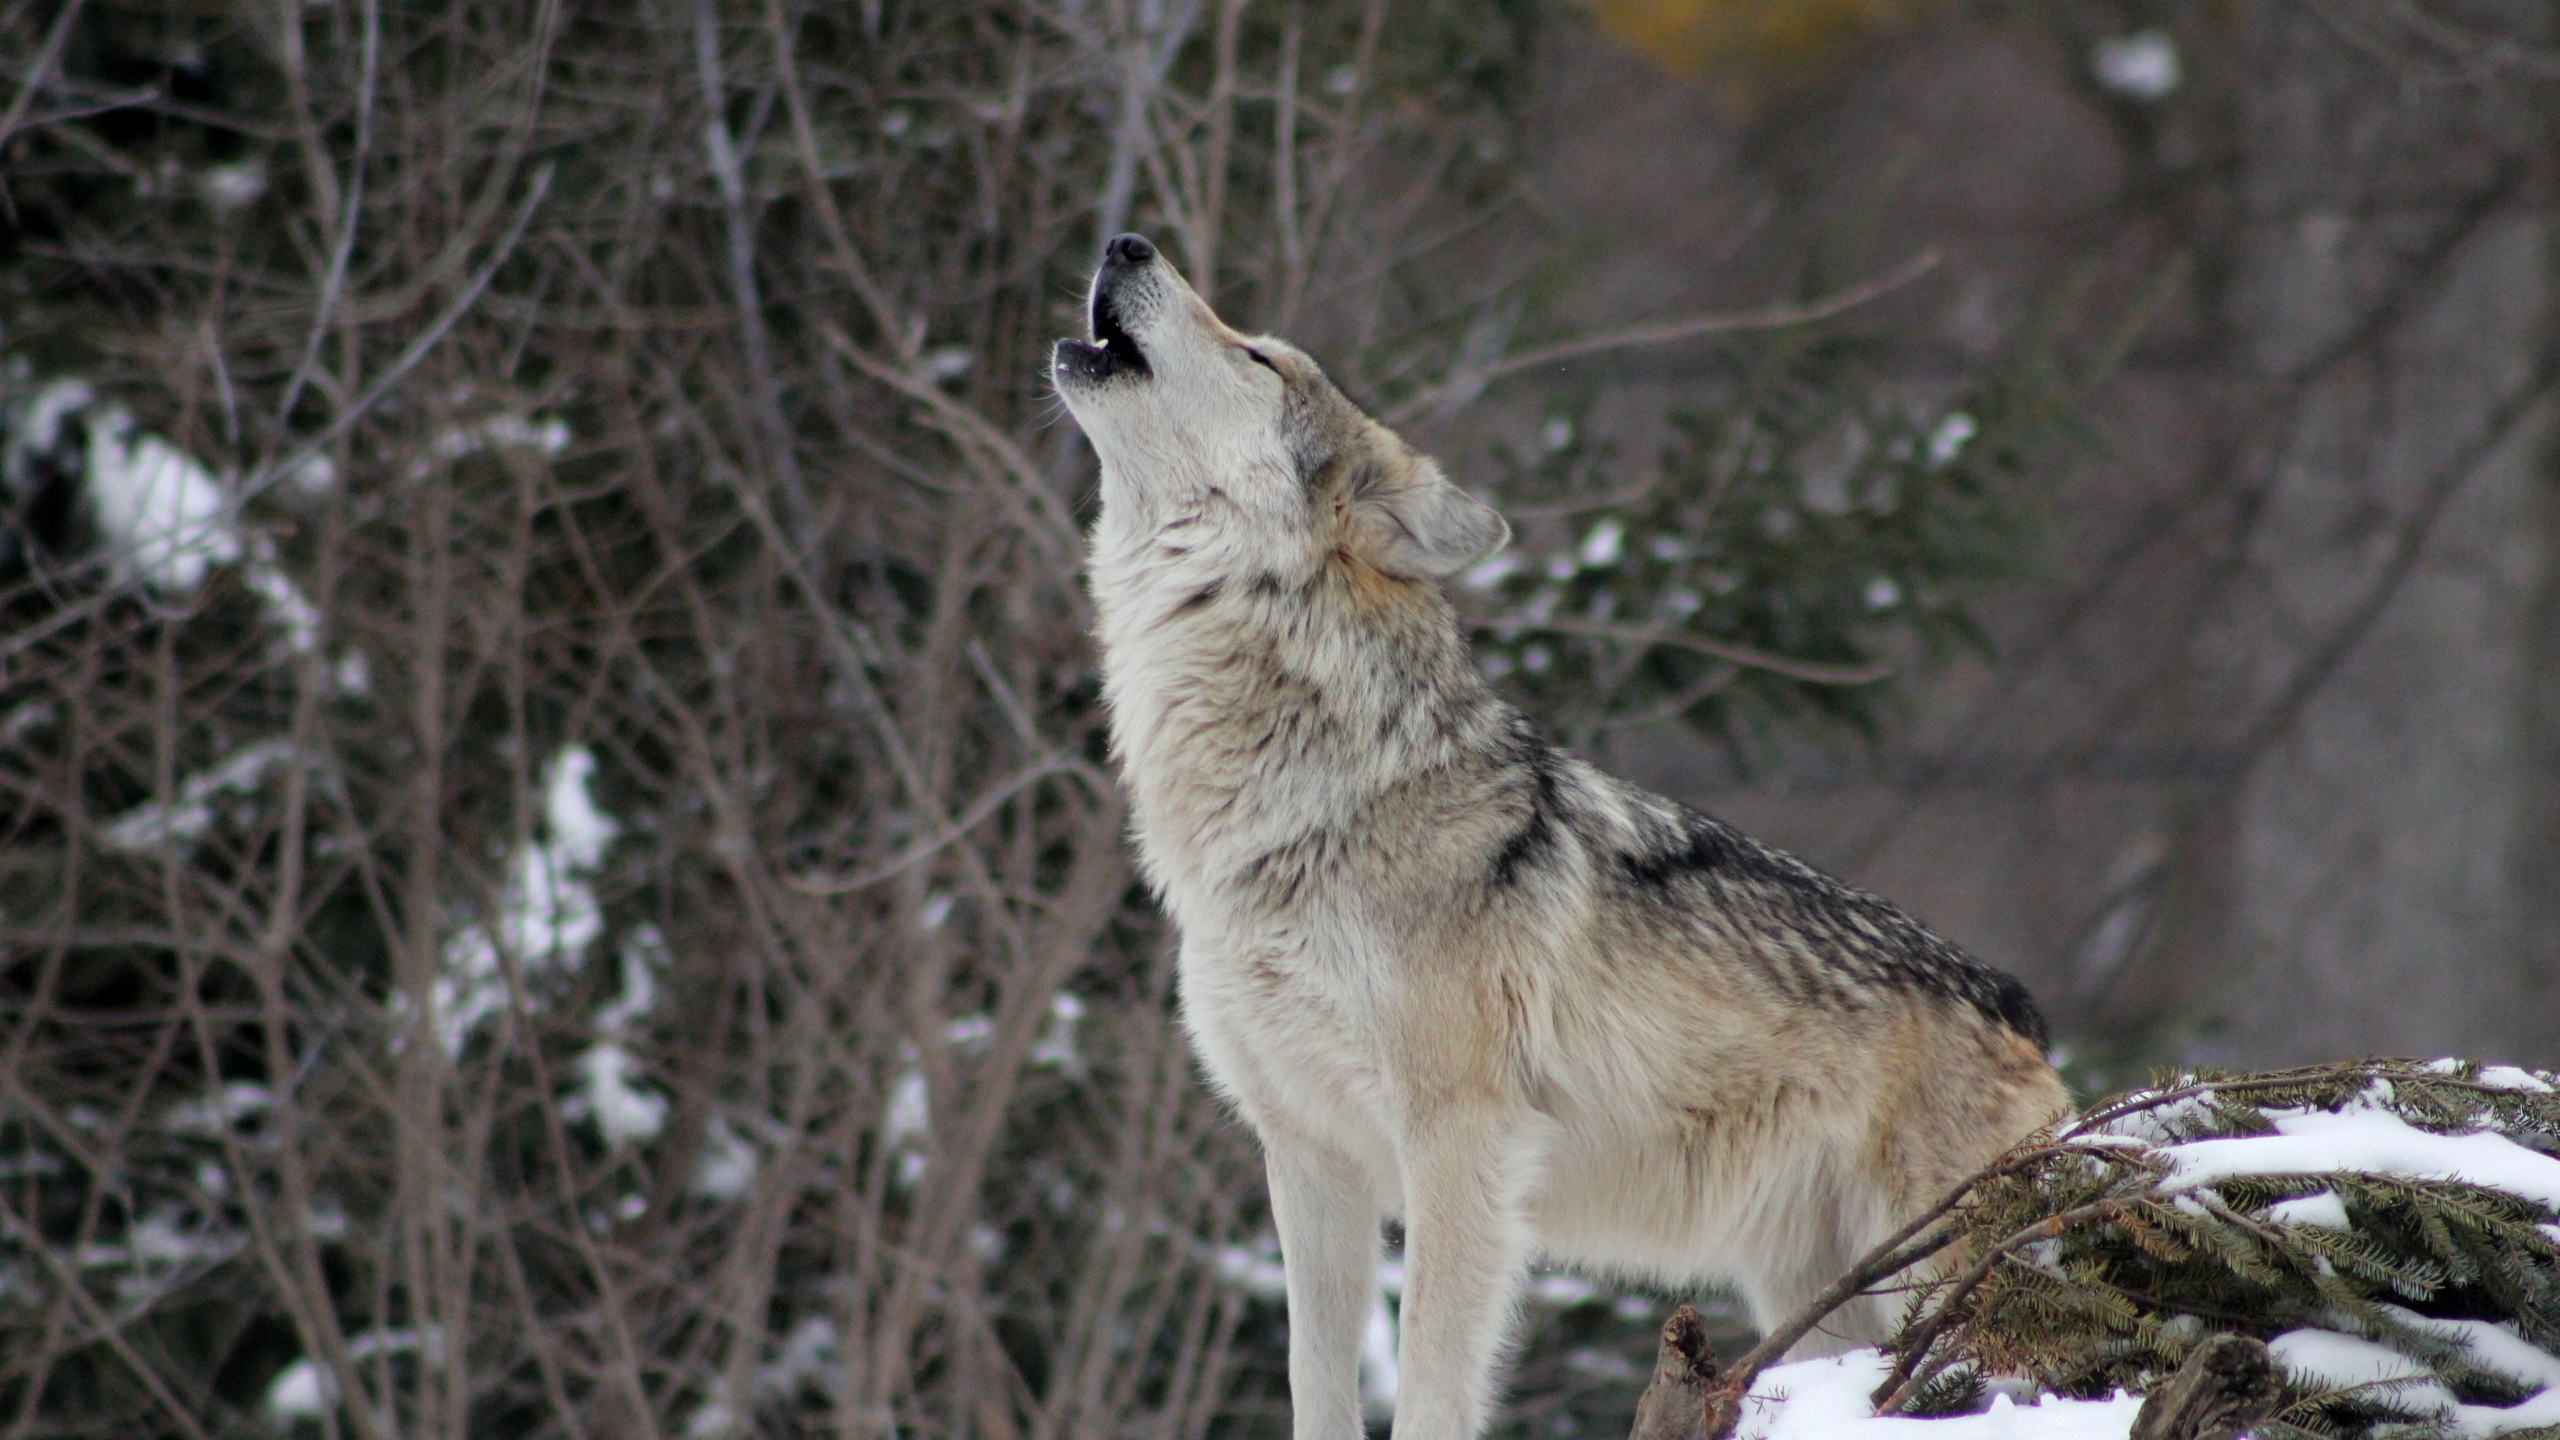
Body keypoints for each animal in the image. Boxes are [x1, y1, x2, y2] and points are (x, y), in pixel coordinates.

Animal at [1053, 233, 2071, 1440]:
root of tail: (2021, 1012)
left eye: (1258, 355)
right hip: (1819, 1299)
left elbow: (1431, 1387)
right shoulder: (1308, 1157)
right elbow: (1315, 1385)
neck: (1304, 804)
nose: (1125, 241)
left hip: (1933, 1283)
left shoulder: (1460, 1145)